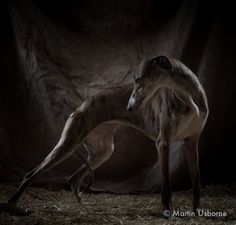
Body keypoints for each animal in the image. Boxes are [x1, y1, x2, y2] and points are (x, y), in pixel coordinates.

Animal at [1, 56, 208, 218]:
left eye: (139, 79)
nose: (129, 108)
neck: (188, 96)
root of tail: (81, 106)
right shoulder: (163, 143)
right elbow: (166, 184)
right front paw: (169, 212)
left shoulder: (192, 141)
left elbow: (197, 180)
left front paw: (197, 211)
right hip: (68, 144)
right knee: (31, 174)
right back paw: (12, 205)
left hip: (103, 151)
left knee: (73, 179)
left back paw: (82, 203)